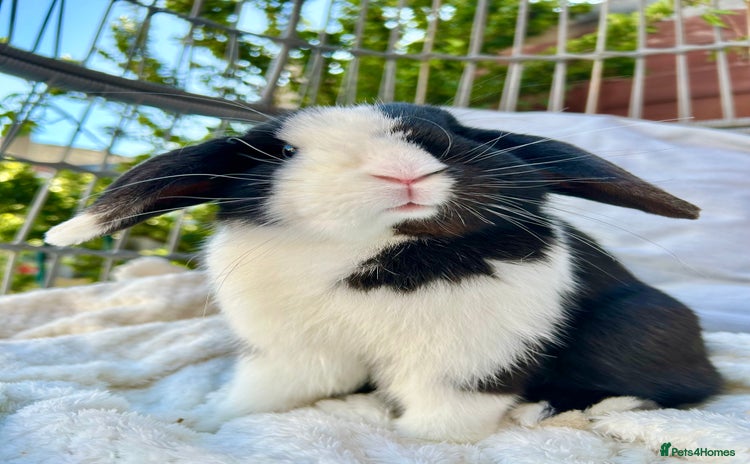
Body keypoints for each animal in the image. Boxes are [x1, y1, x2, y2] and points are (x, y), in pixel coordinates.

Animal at [45, 103, 721, 442]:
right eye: (284, 150)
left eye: (451, 130)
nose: (403, 164)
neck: (366, 255)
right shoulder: (292, 357)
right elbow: (258, 397)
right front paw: (202, 423)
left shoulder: (462, 368)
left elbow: (436, 425)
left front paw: (408, 444)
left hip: (637, 323)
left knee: (687, 388)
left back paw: (564, 412)